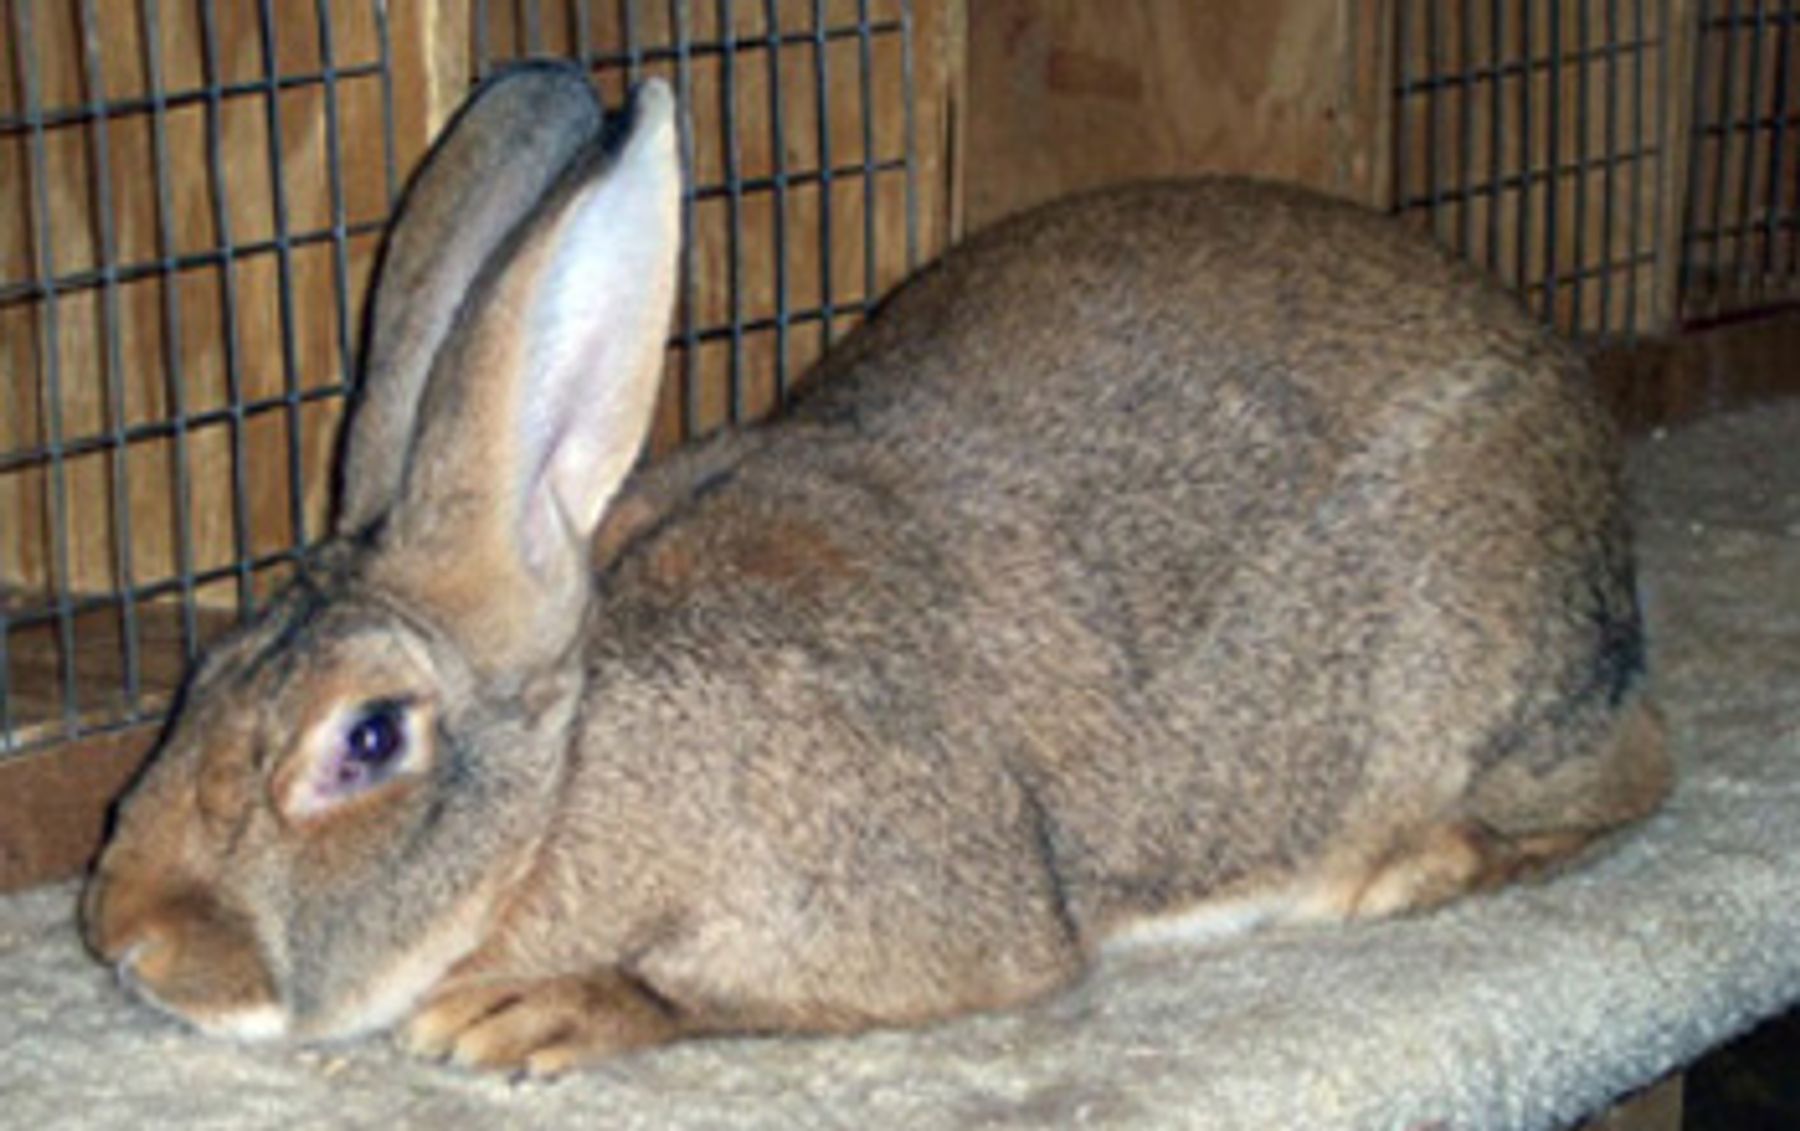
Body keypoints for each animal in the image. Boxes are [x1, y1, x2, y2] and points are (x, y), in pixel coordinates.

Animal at [77, 63, 1663, 1080]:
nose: (121, 940)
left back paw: (1400, 873)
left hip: (1481, 695)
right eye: (202, 676)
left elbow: (712, 987)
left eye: (366, 739)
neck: (574, 779)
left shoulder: (903, 918)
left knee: (1619, 792)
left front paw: (530, 1019)